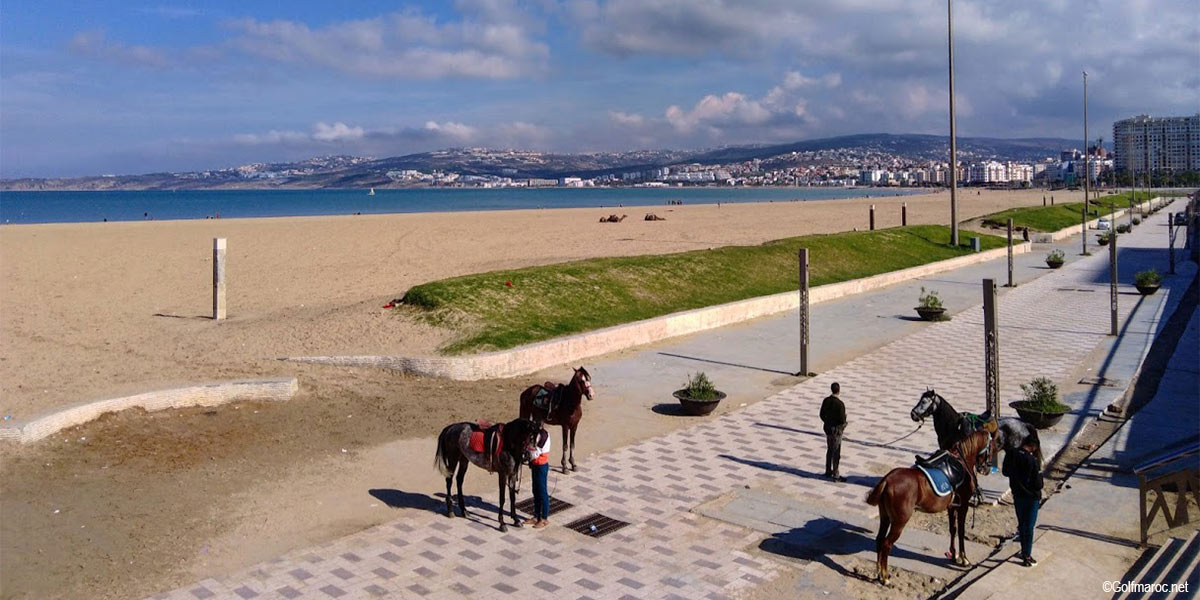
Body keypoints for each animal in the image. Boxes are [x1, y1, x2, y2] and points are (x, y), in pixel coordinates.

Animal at [868, 424, 998, 583]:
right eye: (992, 447)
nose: (987, 468)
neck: (962, 460)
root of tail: (887, 480)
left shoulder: (951, 507)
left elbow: (953, 529)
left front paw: (954, 555)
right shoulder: (964, 505)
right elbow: (961, 531)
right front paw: (964, 558)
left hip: (885, 516)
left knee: (879, 540)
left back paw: (879, 572)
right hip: (899, 521)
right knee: (886, 544)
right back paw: (885, 577)